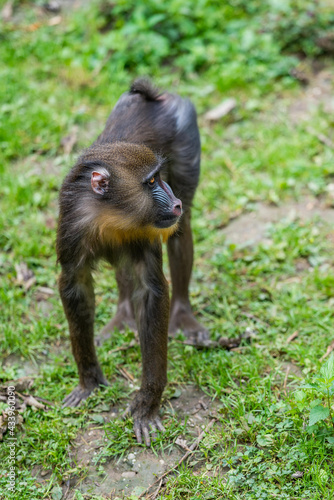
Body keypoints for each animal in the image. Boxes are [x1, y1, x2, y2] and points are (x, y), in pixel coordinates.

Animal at [57, 79, 209, 446]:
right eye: (151, 182)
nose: (174, 202)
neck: (109, 215)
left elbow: (152, 292)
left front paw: (146, 407)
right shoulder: (72, 227)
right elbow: (75, 287)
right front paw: (89, 383)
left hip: (185, 140)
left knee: (181, 232)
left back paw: (183, 315)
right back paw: (122, 317)